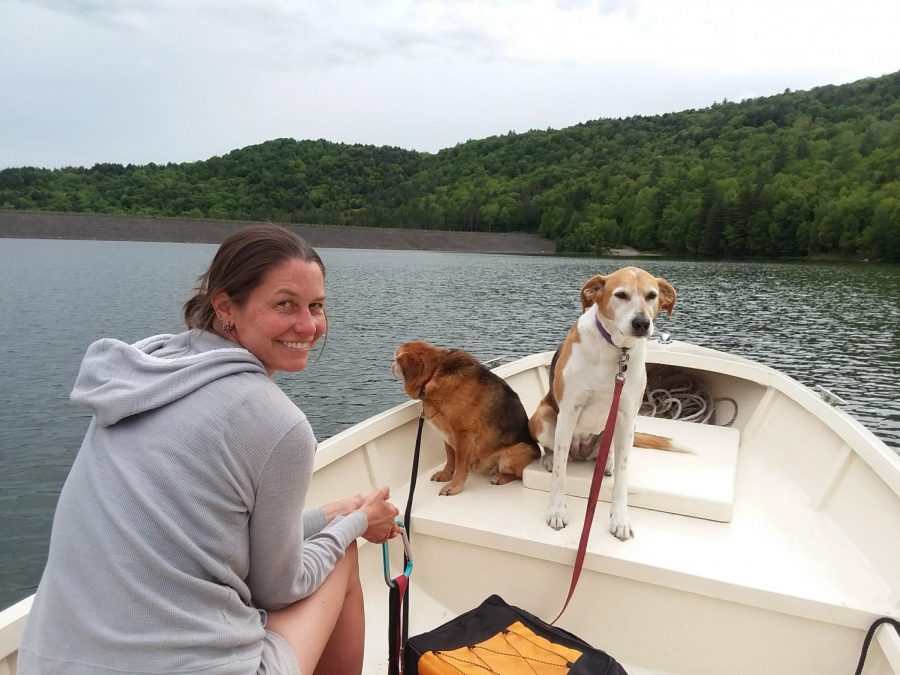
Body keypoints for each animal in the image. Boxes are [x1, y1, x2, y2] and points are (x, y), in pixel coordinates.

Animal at [390, 344, 536, 496]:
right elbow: (450, 458)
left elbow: (460, 466)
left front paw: (454, 486)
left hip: (511, 455)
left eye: (396, 358)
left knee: (520, 475)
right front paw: (445, 474)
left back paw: (501, 477)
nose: (390, 365)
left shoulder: (463, 434)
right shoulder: (447, 435)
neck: (434, 372)